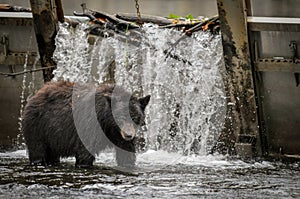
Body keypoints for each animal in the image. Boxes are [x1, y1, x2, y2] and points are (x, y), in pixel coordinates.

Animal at [21, 81, 150, 168]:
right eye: (120, 118)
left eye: (136, 118)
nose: (128, 135)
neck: (108, 124)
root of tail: (35, 95)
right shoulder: (90, 125)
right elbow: (85, 151)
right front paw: (84, 164)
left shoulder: (118, 135)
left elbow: (126, 152)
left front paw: (128, 163)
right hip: (37, 127)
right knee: (37, 150)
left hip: (52, 136)